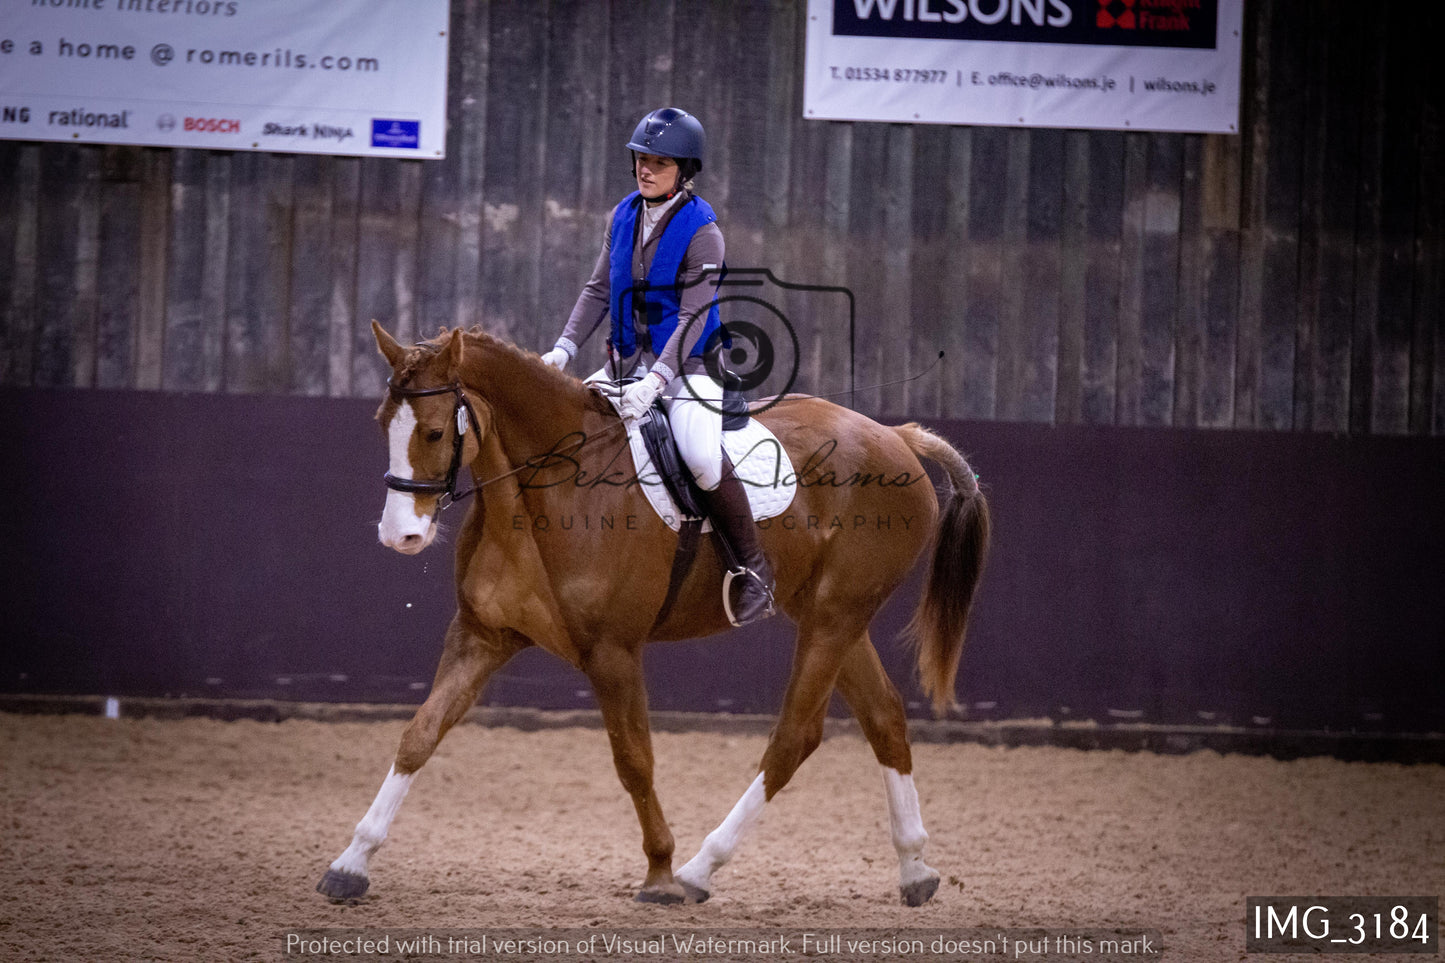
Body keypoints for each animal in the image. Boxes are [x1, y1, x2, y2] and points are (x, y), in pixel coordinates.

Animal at [316, 326, 988, 902]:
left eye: (433, 432)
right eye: (383, 424)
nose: (399, 535)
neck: (542, 491)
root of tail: (898, 437)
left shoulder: (612, 651)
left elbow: (634, 761)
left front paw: (660, 873)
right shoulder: (482, 636)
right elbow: (419, 734)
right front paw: (351, 863)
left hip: (834, 617)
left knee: (794, 737)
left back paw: (697, 869)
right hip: (831, 616)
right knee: (884, 719)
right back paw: (915, 868)